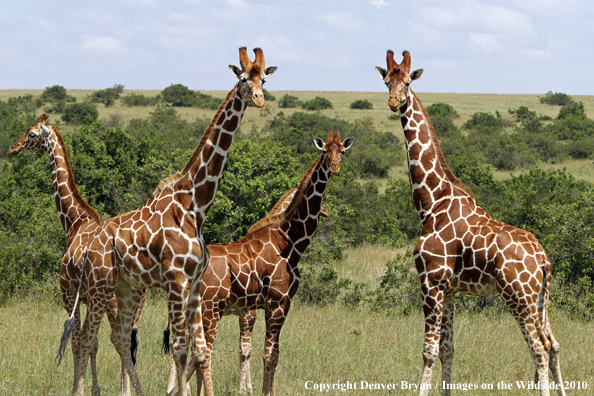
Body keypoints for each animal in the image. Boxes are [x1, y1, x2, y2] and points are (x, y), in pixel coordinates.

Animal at [8, 113, 145, 394]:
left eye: (32, 134)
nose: (12, 149)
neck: (74, 221)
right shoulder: (86, 297)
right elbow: (90, 343)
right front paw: (93, 389)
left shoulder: (69, 291)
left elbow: (76, 342)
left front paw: (79, 389)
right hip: (129, 304)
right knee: (128, 340)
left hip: (111, 301)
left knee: (121, 340)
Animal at [65, 47, 276, 396]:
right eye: (243, 79)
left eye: (265, 79)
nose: (259, 99)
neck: (194, 206)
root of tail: (85, 245)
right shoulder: (176, 280)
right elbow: (179, 348)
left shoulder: (194, 283)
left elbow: (199, 350)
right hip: (98, 286)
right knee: (85, 338)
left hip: (126, 286)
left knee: (117, 337)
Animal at [166, 131, 352, 394]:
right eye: (325, 151)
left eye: (342, 151)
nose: (334, 166)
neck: (290, 241)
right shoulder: (274, 303)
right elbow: (267, 355)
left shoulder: (281, 304)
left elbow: (274, 354)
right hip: (211, 309)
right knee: (203, 354)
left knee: (188, 351)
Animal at [374, 50, 564, 396]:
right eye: (386, 82)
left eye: (407, 82)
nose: (394, 102)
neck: (432, 202)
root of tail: (544, 260)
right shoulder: (449, 289)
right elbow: (448, 349)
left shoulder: (430, 281)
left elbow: (428, 350)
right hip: (542, 298)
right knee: (554, 345)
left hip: (518, 296)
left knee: (540, 348)